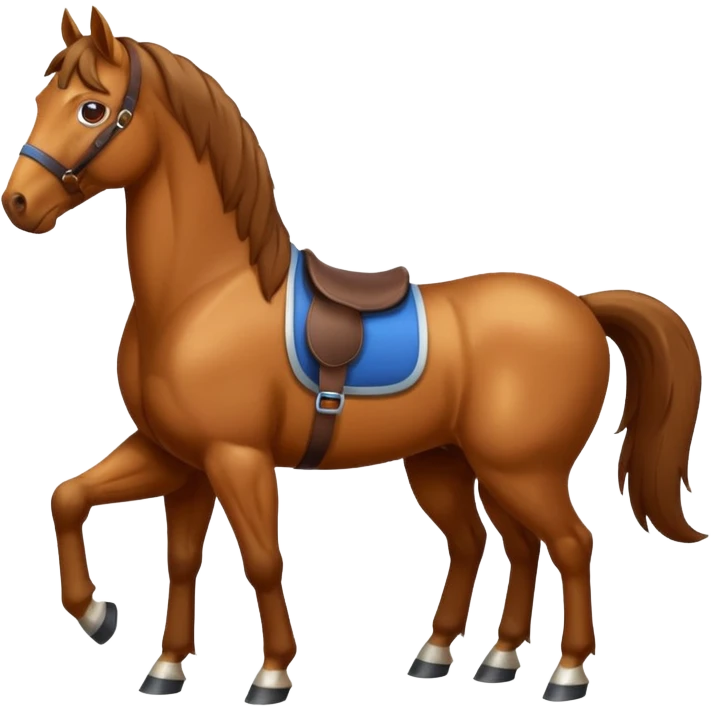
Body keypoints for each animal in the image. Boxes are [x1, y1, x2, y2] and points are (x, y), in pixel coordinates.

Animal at [2, 7, 704, 705]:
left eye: (92, 109)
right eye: (41, 99)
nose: (19, 203)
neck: (203, 293)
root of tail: (581, 305)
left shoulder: (236, 457)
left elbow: (262, 558)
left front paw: (271, 673)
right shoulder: (176, 456)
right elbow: (107, 520)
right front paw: (138, 644)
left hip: (523, 469)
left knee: (568, 543)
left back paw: (565, 673)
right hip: (454, 464)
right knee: (498, 544)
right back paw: (475, 658)